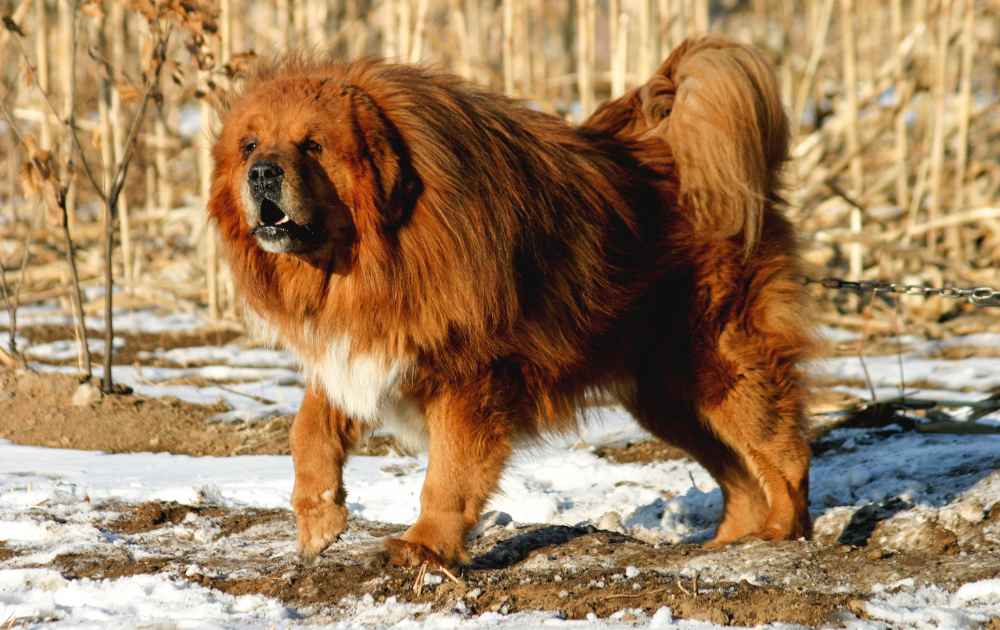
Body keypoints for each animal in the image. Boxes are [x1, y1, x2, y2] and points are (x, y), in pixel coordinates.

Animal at [209, 35, 812, 568]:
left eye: (313, 145)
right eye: (250, 145)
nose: (262, 173)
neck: (375, 258)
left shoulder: (470, 377)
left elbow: (448, 476)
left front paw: (425, 547)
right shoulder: (360, 348)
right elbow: (308, 429)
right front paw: (319, 518)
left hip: (720, 366)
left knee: (784, 454)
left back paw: (782, 534)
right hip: (668, 395)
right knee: (741, 477)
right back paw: (729, 544)